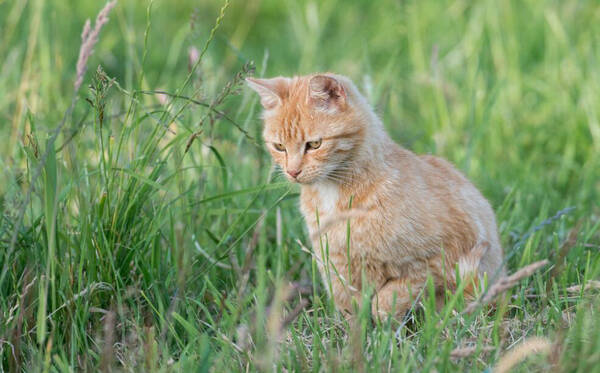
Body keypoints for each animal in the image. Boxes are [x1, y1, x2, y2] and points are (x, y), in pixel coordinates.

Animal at [246, 74, 504, 318]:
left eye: (314, 144)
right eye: (279, 147)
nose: (292, 172)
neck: (333, 195)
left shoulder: (435, 260)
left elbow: (388, 299)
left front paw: (383, 322)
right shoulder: (338, 270)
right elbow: (350, 310)